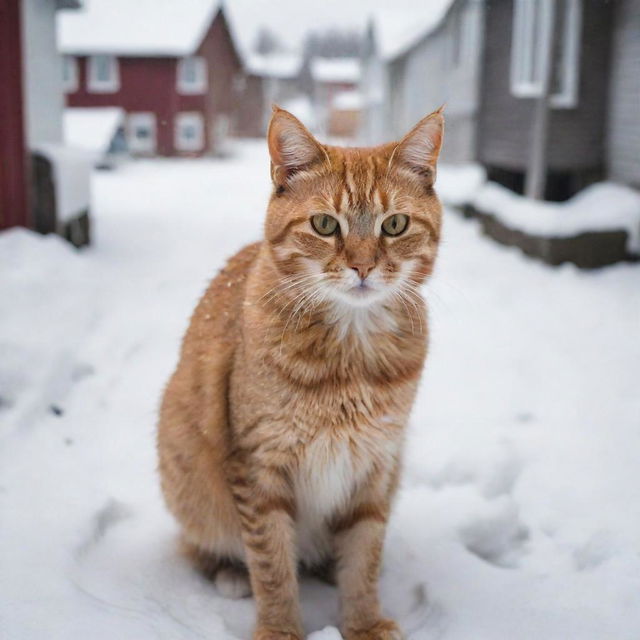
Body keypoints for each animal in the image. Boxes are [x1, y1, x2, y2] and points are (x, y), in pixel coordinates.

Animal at [158, 106, 442, 640]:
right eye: (325, 224)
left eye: (394, 225)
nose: (362, 267)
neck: (349, 354)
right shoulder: (259, 467)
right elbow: (271, 562)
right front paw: (280, 629)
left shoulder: (375, 466)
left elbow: (364, 554)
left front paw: (363, 621)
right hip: (185, 462)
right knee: (198, 545)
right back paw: (229, 573)